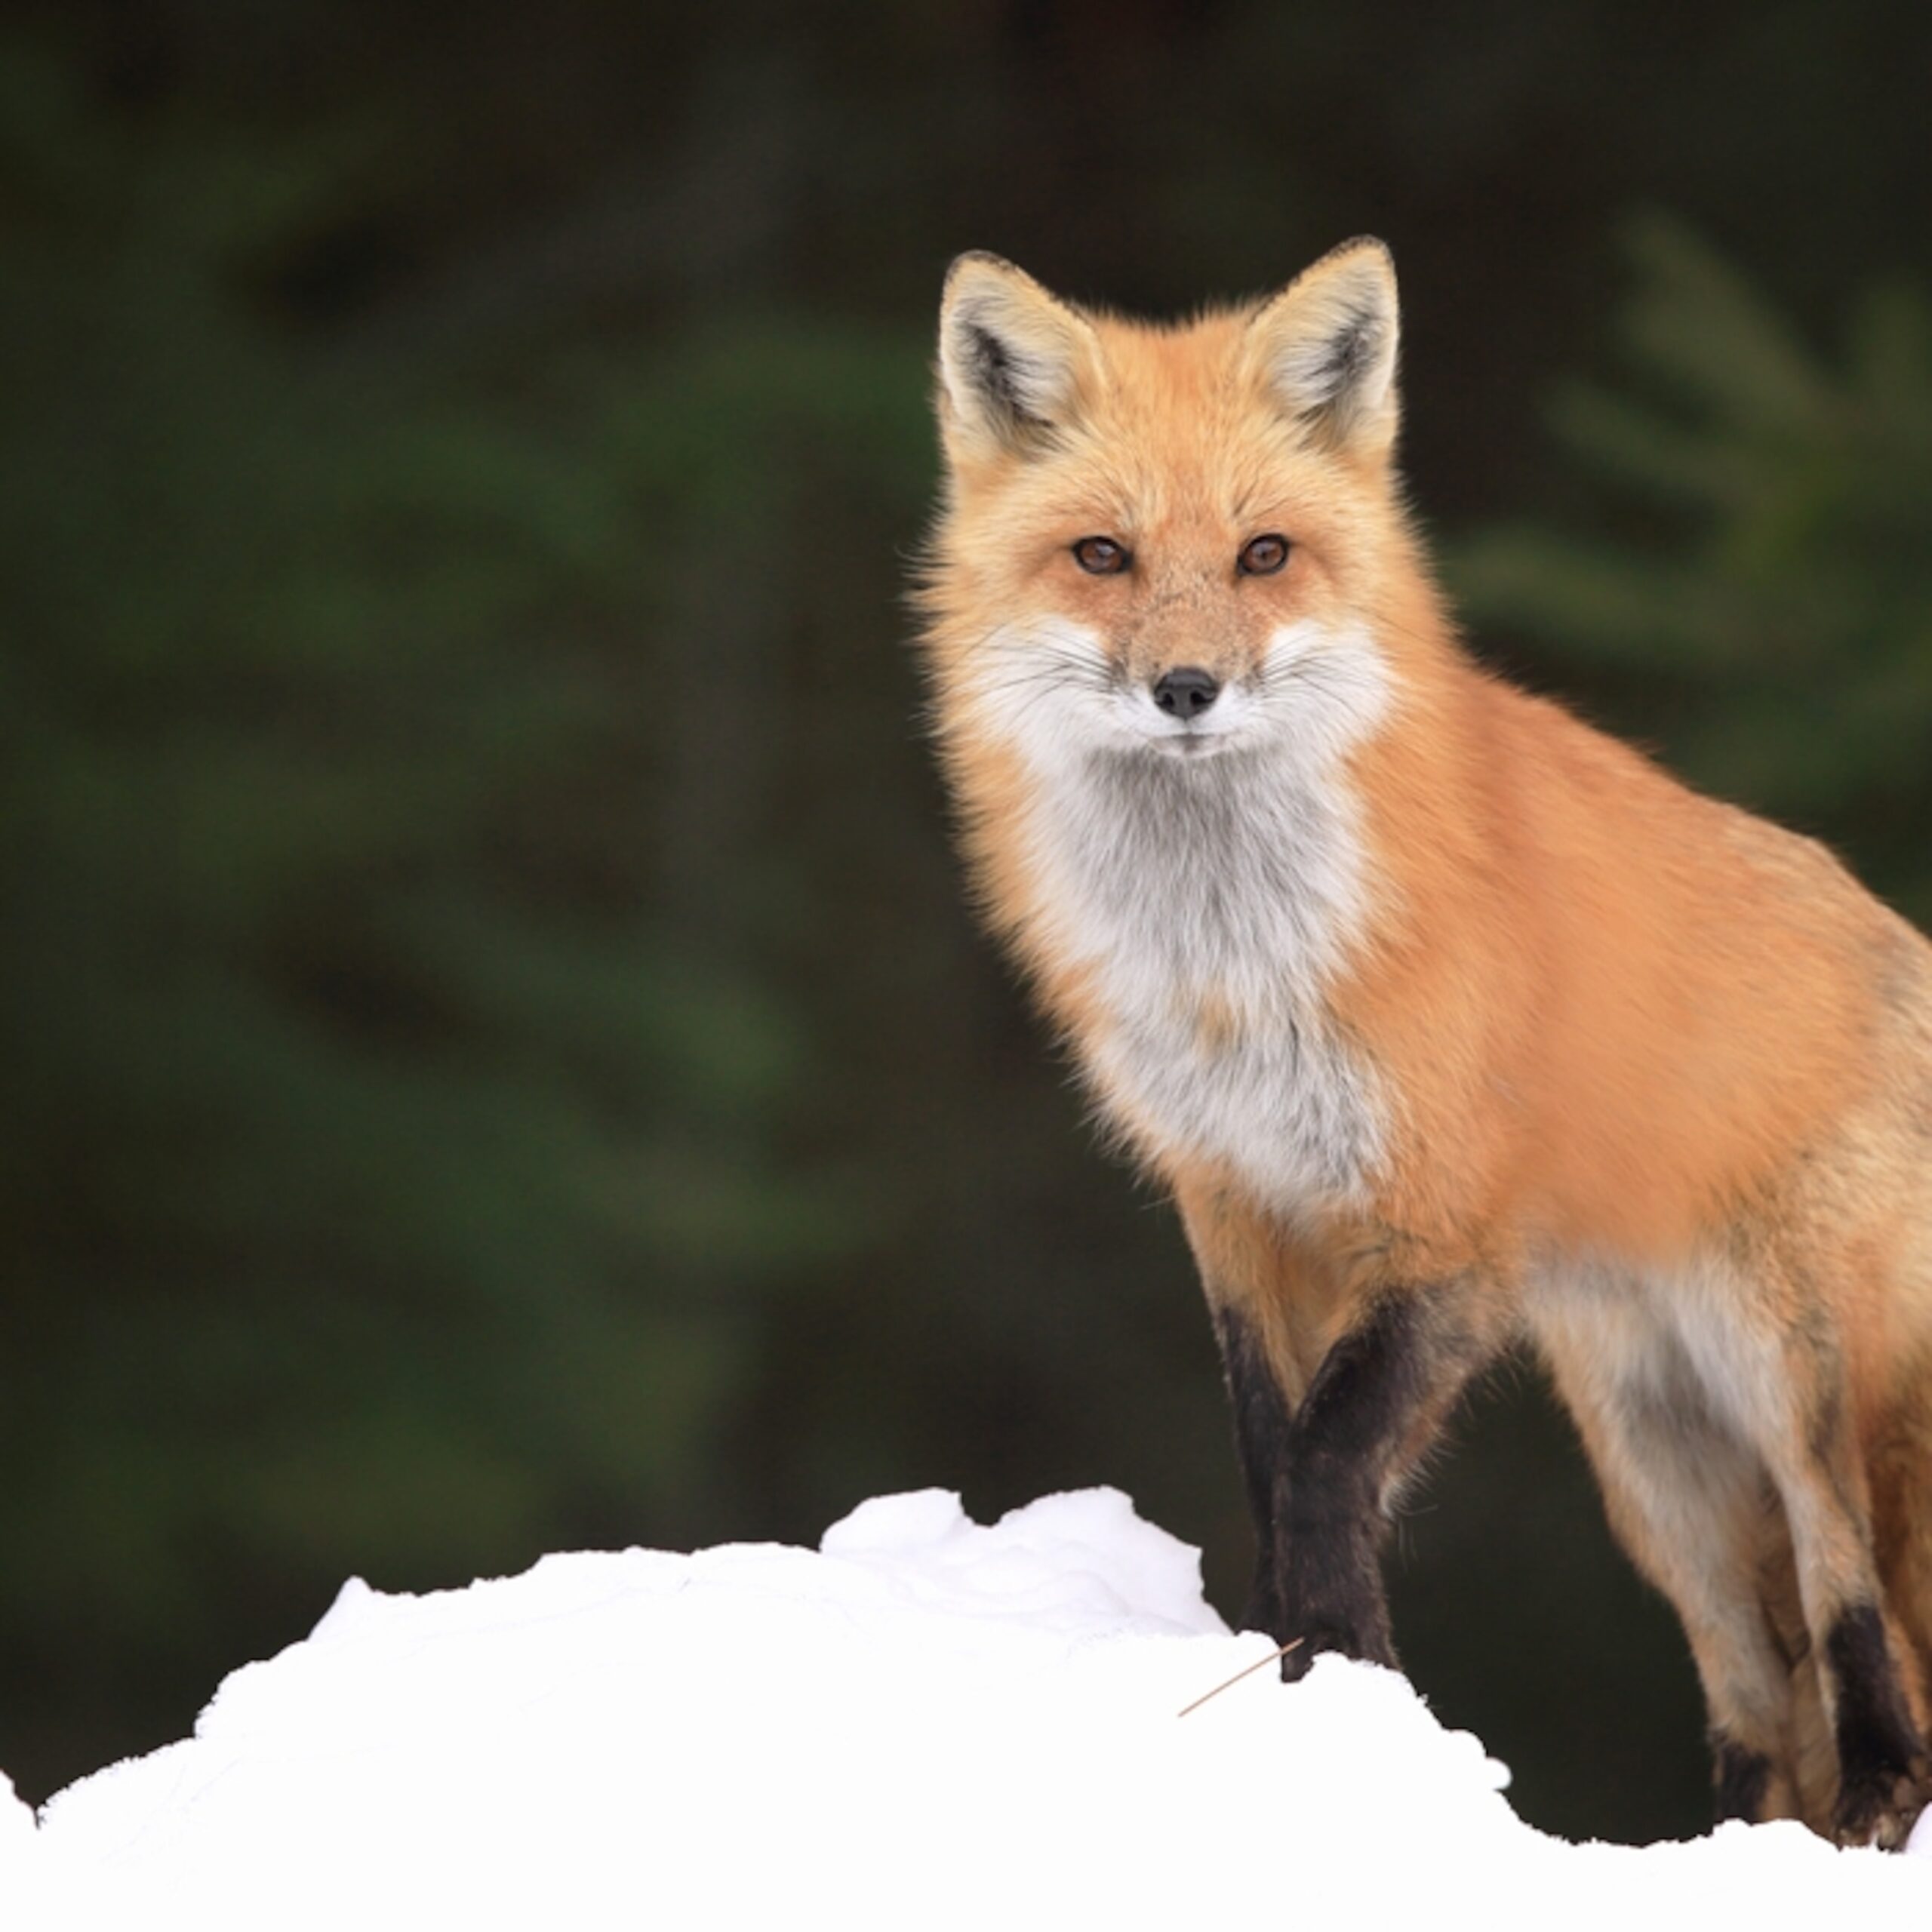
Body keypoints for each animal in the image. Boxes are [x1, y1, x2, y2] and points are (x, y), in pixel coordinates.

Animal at [915, 238, 1932, 1848]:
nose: (1187, 690)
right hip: (1659, 1467)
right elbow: (1270, 1455)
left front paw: (1345, 1677)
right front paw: (1297, 1678)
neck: (1241, 966)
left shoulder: (1446, 1228)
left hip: (1797, 1385)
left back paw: (1883, 1802)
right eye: (1103, 557)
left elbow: (1331, 1461)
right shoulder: (1234, 1200)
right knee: (1758, 1704)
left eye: (1265, 555)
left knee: (1858, 1610)